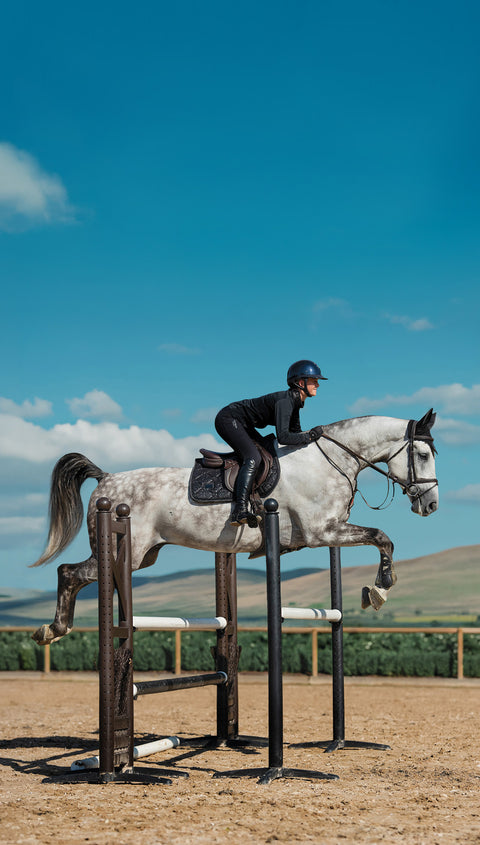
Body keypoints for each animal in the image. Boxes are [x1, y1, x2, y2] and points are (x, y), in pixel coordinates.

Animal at [31, 409, 438, 645]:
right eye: (422, 454)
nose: (431, 505)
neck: (330, 461)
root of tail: (107, 478)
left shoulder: (330, 531)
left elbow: (381, 539)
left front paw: (378, 589)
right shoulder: (323, 532)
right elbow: (382, 537)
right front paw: (380, 589)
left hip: (143, 556)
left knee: (77, 573)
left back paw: (55, 629)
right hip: (125, 551)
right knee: (69, 572)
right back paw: (53, 629)